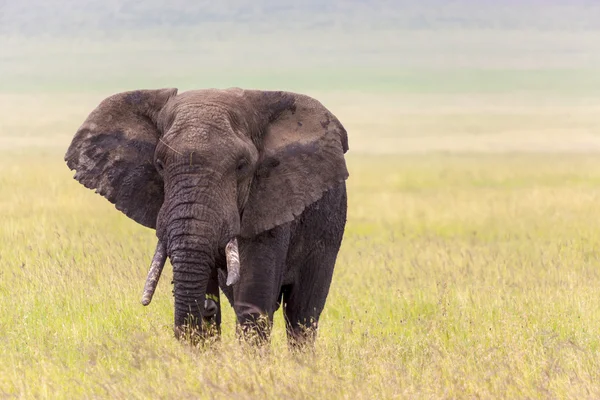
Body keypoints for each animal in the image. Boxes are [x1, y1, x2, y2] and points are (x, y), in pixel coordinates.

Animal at [64, 88, 346, 346]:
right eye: (160, 165)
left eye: (242, 166)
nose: (207, 306)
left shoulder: (272, 201)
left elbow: (253, 304)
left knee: (302, 315)